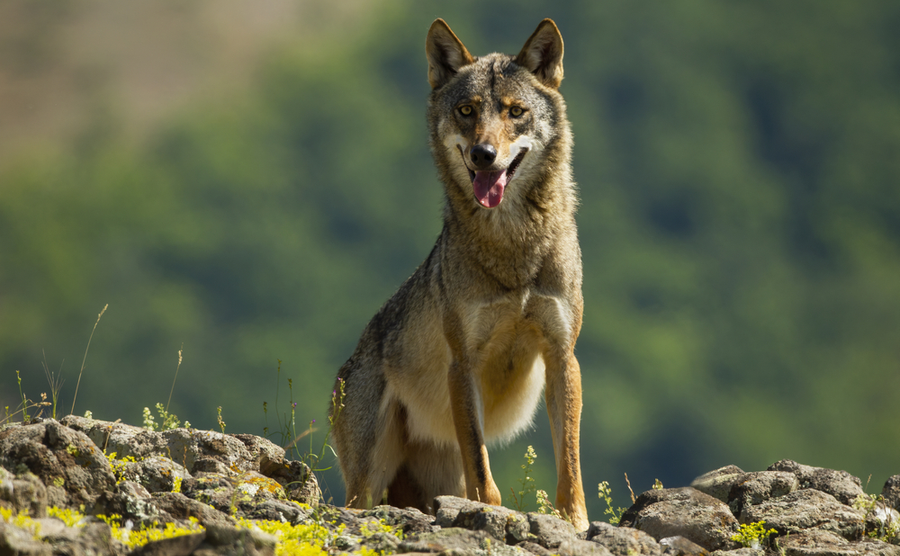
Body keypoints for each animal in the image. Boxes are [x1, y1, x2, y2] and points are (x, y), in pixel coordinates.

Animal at [330, 18, 592, 528]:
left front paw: (575, 523)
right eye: (467, 110)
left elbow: (569, 463)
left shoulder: (561, 355)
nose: (483, 154)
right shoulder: (463, 363)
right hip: (368, 479)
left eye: (515, 112)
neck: (512, 247)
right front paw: (490, 515)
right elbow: (482, 469)